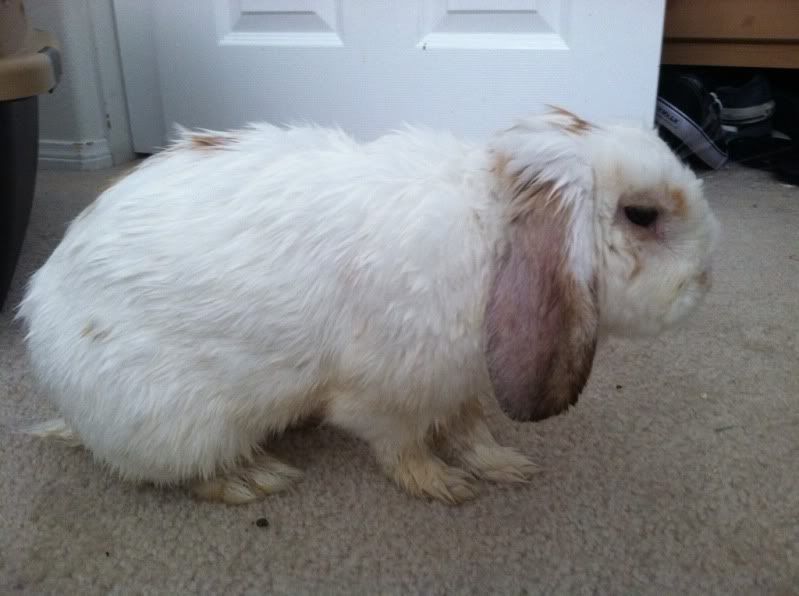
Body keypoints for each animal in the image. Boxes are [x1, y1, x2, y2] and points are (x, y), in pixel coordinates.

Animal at [18, 108, 720, 505]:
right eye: (641, 215)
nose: (706, 281)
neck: (492, 234)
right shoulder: (390, 395)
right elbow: (403, 448)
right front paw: (445, 487)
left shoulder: (461, 383)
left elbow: (470, 430)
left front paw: (503, 467)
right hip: (183, 424)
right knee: (178, 473)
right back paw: (254, 480)